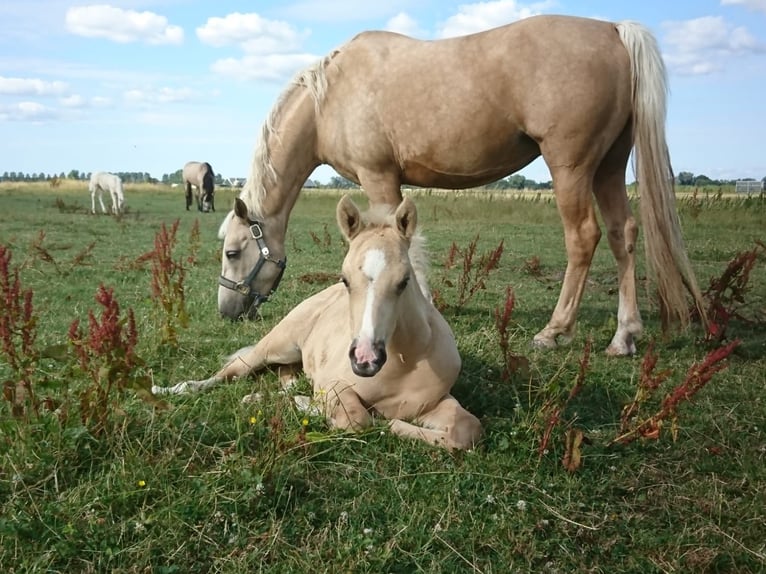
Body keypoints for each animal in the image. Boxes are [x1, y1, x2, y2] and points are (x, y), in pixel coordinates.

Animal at [153, 198, 484, 454]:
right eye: (345, 279)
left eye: (404, 281)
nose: (365, 360)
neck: (403, 364)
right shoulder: (334, 385)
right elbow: (355, 418)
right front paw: (314, 405)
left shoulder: (435, 400)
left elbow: (468, 428)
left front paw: (395, 423)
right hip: (275, 346)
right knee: (229, 373)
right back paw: (170, 389)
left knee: (284, 376)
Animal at [214, 15, 708, 358]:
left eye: (233, 252)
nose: (225, 312)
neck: (329, 99)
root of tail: (613, 31)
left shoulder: (379, 178)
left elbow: (404, 247)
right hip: (609, 165)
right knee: (623, 234)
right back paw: (624, 336)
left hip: (571, 166)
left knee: (584, 236)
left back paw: (554, 331)